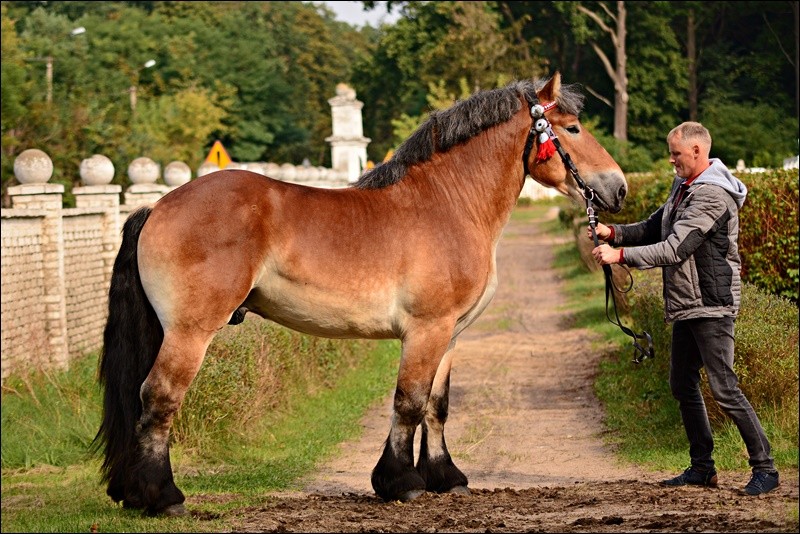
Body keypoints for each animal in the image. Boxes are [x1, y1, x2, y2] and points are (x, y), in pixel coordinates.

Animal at [94, 71, 628, 516]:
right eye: (573, 128)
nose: (620, 188)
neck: (448, 204)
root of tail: (157, 207)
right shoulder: (426, 330)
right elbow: (409, 402)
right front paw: (401, 482)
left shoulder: (450, 335)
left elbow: (437, 406)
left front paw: (445, 477)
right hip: (189, 332)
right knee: (159, 398)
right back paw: (162, 497)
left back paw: (133, 492)